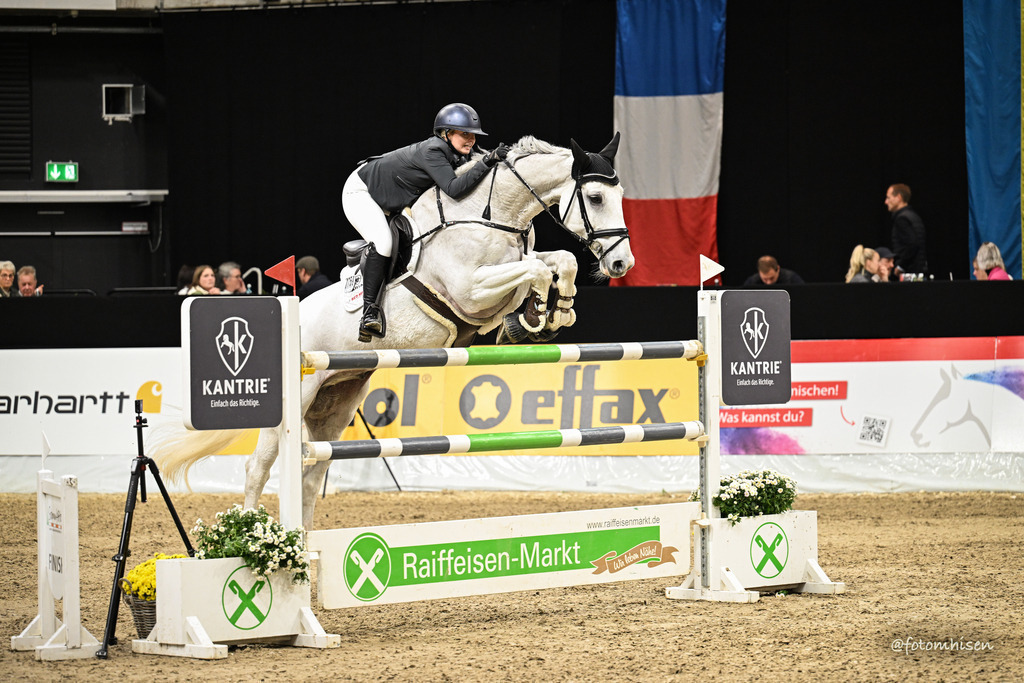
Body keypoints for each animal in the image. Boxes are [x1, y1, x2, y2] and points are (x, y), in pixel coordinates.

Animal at [153, 134, 635, 530]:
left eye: (621, 195)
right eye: (595, 197)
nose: (621, 264)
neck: (490, 215)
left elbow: (555, 262)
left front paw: (547, 315)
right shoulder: (470, 291)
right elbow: (533, 269)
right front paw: (539, 314)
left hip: (336, 402)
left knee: (311, 473)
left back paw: (307, 546)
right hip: (301, 392)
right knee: (259, 465)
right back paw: (253, 540)